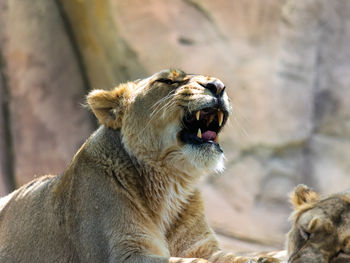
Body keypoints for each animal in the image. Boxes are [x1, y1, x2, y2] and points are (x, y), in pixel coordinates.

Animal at [0, 69, 278, 262]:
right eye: (167, 82)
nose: (218, 86)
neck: (171, 184)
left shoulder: (203, 247)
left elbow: (233, 256)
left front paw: (264, 257)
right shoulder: (124, 253)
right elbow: (189, 262)